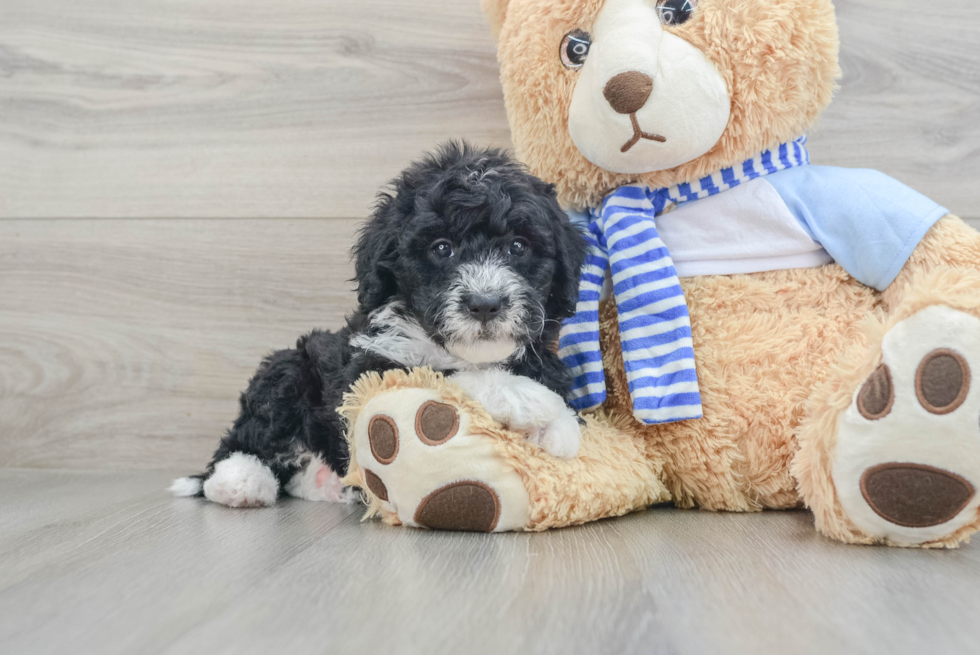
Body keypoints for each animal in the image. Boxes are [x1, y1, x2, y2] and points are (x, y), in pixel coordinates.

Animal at [167, 142, 588, 508]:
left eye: (518, 246)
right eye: (442, 248)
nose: (485, 304)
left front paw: (560, 426)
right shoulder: (370, 372)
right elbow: (441, 375)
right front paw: (532, 401)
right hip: (287, 370)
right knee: (244, 440)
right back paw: (240, 481)